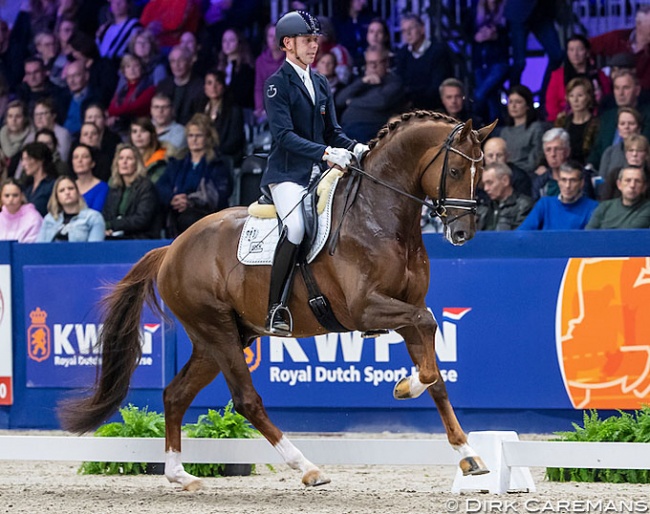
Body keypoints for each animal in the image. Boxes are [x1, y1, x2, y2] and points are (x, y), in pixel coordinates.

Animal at [60, 111, 494, 488]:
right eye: (455, 171)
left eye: (482, 173)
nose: (463, 233)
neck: (379, 217)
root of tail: (171, 248)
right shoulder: (365, 309)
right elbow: (427, 328)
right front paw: (405, 387)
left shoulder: (403, 309)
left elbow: (435, 371)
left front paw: (468, 454)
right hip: (217, 332)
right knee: (246, 400)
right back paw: (307, 468)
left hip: (219, 338)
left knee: (176, 394)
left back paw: (180, 475)